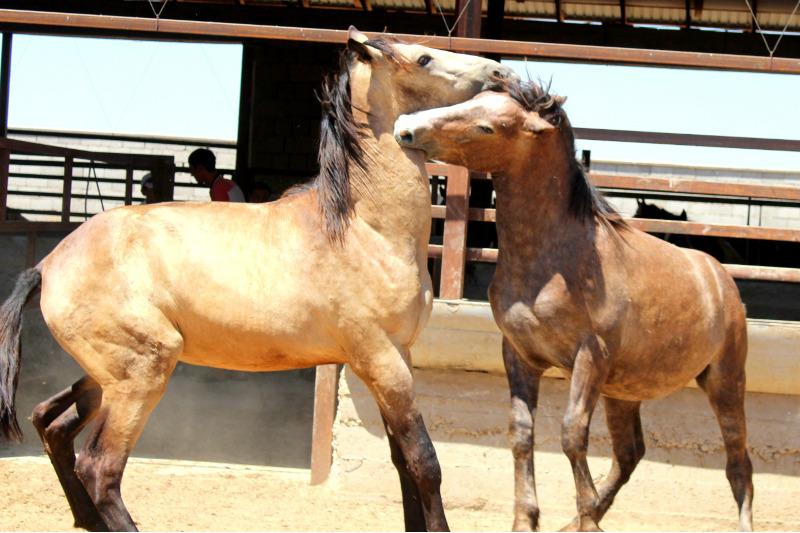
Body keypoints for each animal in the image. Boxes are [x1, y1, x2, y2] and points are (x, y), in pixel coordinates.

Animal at [0, 30, 516, 532]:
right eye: (423, 59)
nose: (500, 73)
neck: (363, 229)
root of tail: (48, 264)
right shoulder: (380, 358)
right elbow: (424, 461)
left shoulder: (396, 358)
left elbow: (400, 460)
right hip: (140, 375)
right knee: (100, 467)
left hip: (105, 375)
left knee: (51, 422)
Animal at [396, 85, 752, 528]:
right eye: (471, 102)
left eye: (487, 126)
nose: (406, 129)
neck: (553, 260)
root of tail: (720, 277)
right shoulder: (519, 354)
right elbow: (521, 433)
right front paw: (528, 520)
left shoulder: (590, 357)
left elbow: (571, 434)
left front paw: (582, 518)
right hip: (623, 390)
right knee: (629, 453)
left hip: (725, 382)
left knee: (738, 464)